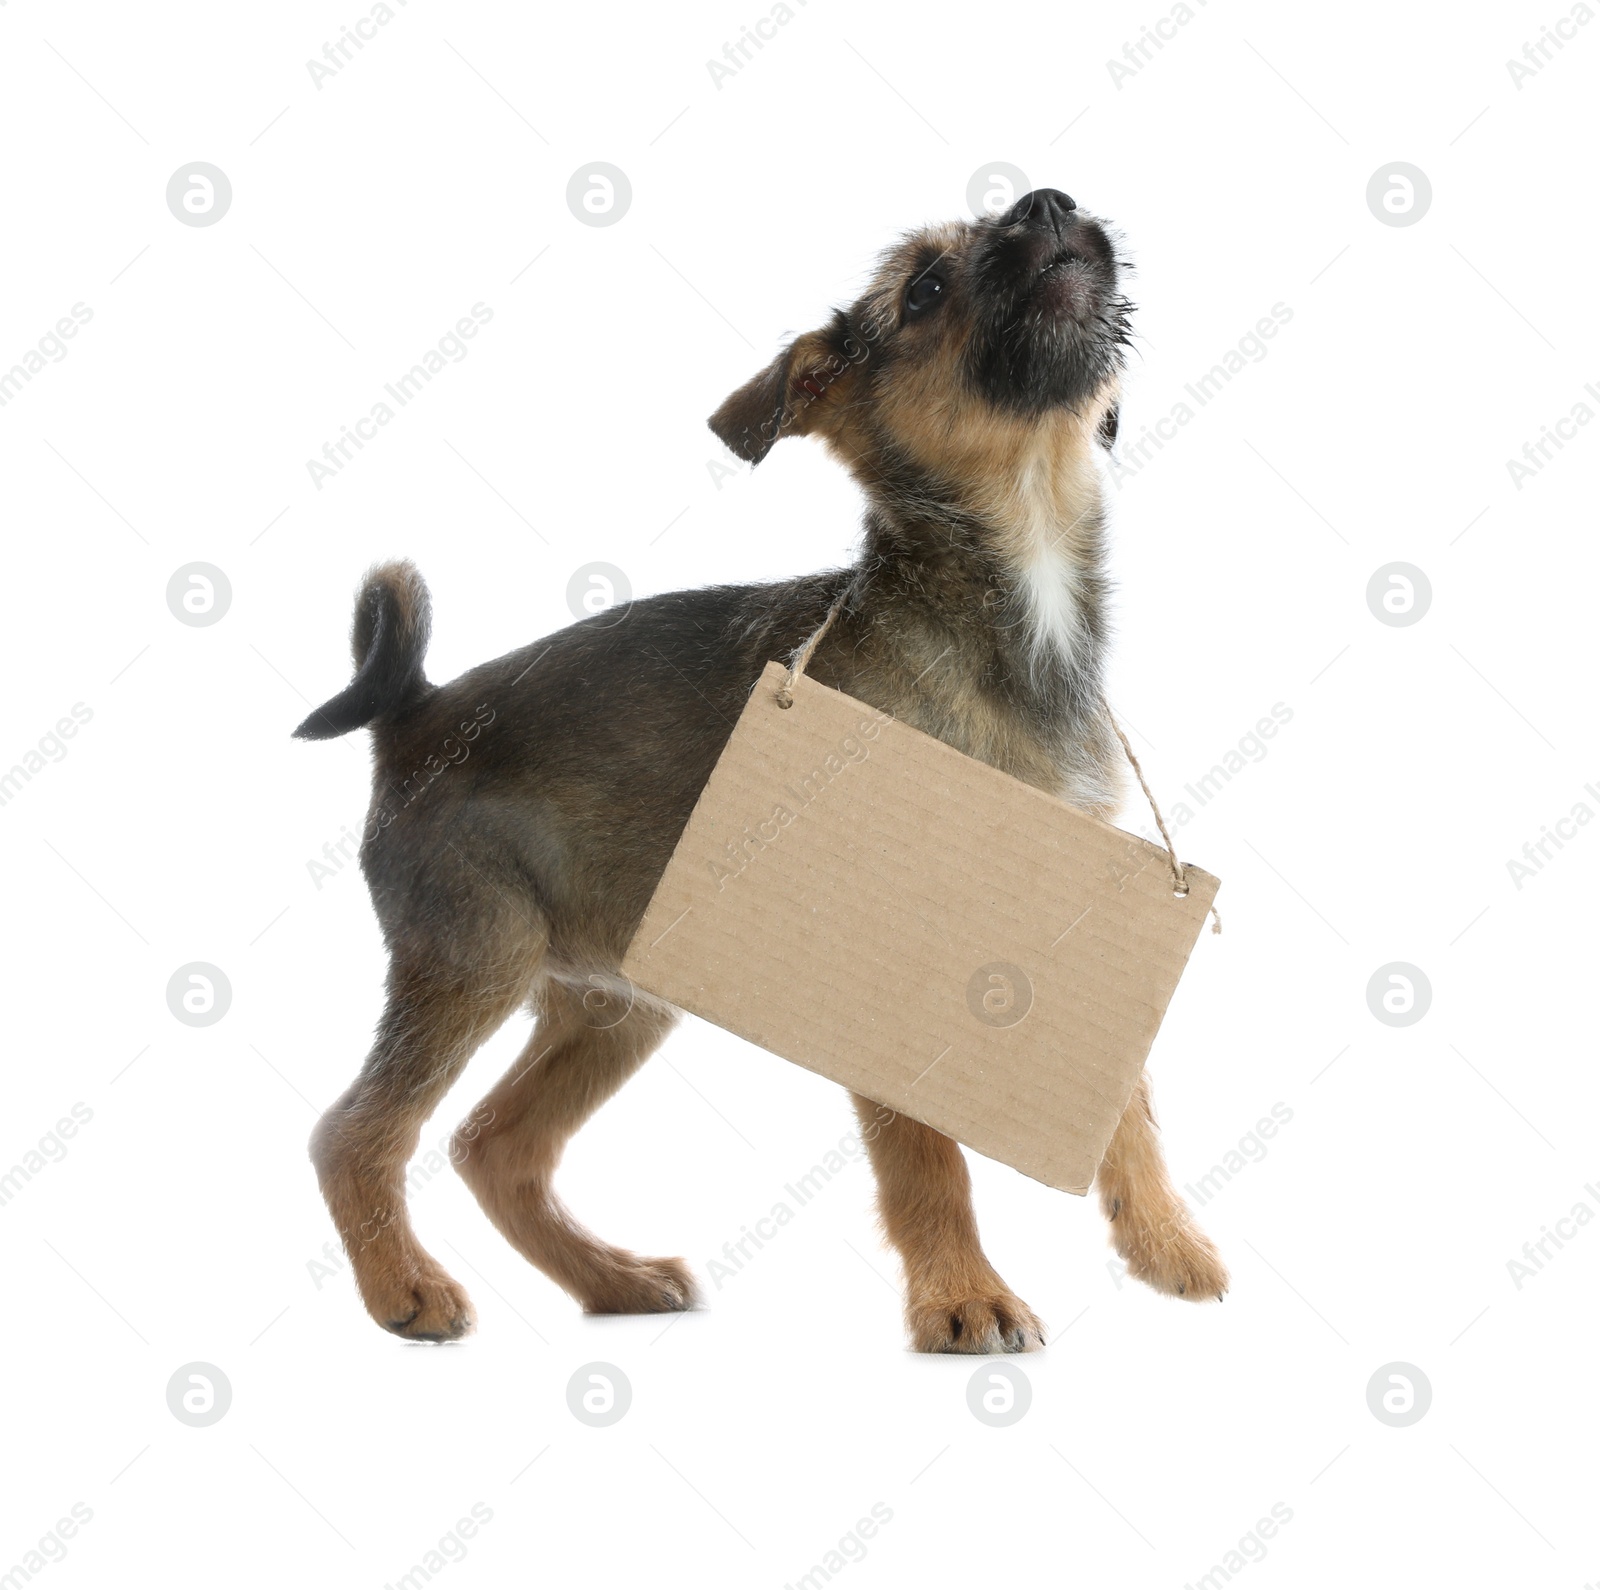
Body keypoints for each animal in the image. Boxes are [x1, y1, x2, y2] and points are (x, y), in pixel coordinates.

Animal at [297, 188, 1222, 1350]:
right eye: (924, 290)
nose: (1046, 203)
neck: (1022, 592)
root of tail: (415, 713)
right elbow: (926, 1154)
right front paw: (964, 1298)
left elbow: (1126, 1102)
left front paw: (1169, 1247)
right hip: (474, 956)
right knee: (356, 1131)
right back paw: (405, 1291)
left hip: (617, 1004)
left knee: (494, 1145)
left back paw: (612, 1280)